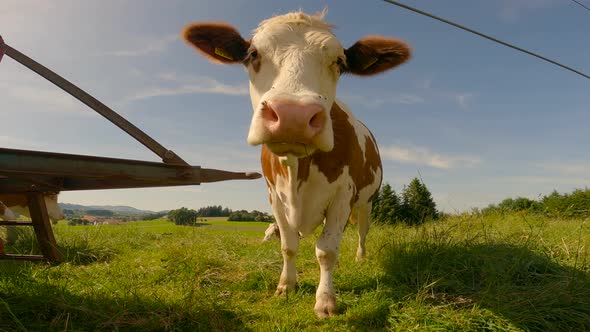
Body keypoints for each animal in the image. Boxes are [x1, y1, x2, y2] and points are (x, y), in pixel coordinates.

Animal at [184, 9, 412, 316]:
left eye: (340, 62)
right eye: (253, 54)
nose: (293, 115)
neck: (297, 172)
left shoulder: (343, 195)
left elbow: (326, 250)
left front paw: (326, 301)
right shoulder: (274, 198)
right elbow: (288, 245)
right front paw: (286, 286)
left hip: (366, 201)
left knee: (362, 231)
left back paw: (360, 258)